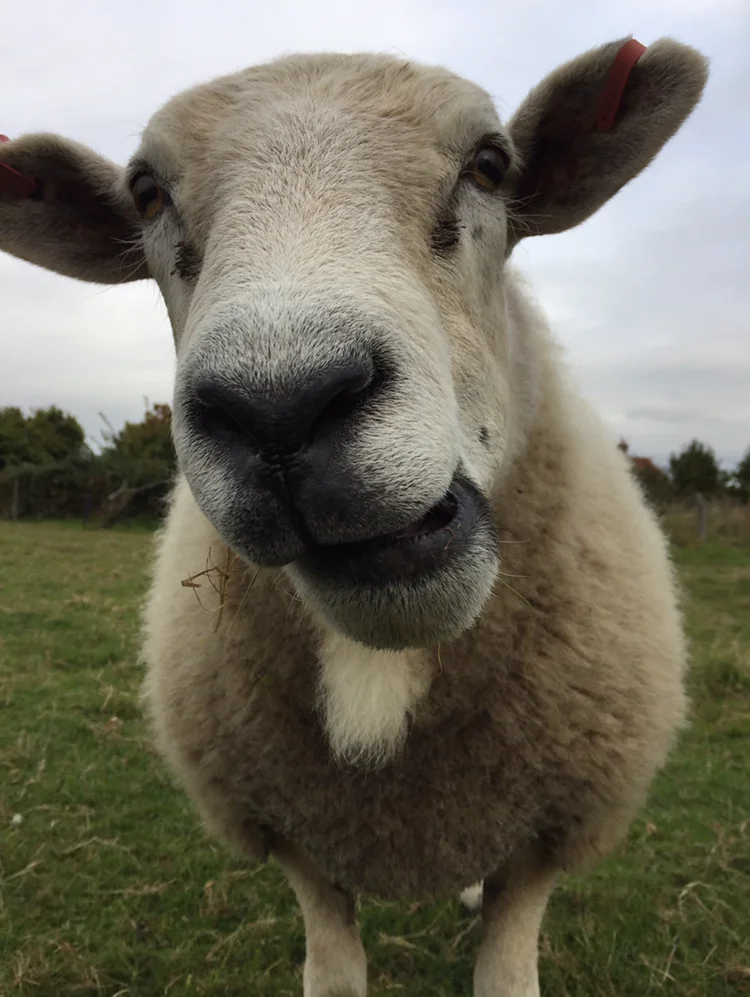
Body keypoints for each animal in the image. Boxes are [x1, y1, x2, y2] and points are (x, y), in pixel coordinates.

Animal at [0, 36, 708, 997]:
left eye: (490, 164)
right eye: (146, 194)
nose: (279, 405)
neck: (383, 664)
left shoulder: (550, 833)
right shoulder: (293, 833)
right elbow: (332, 974)